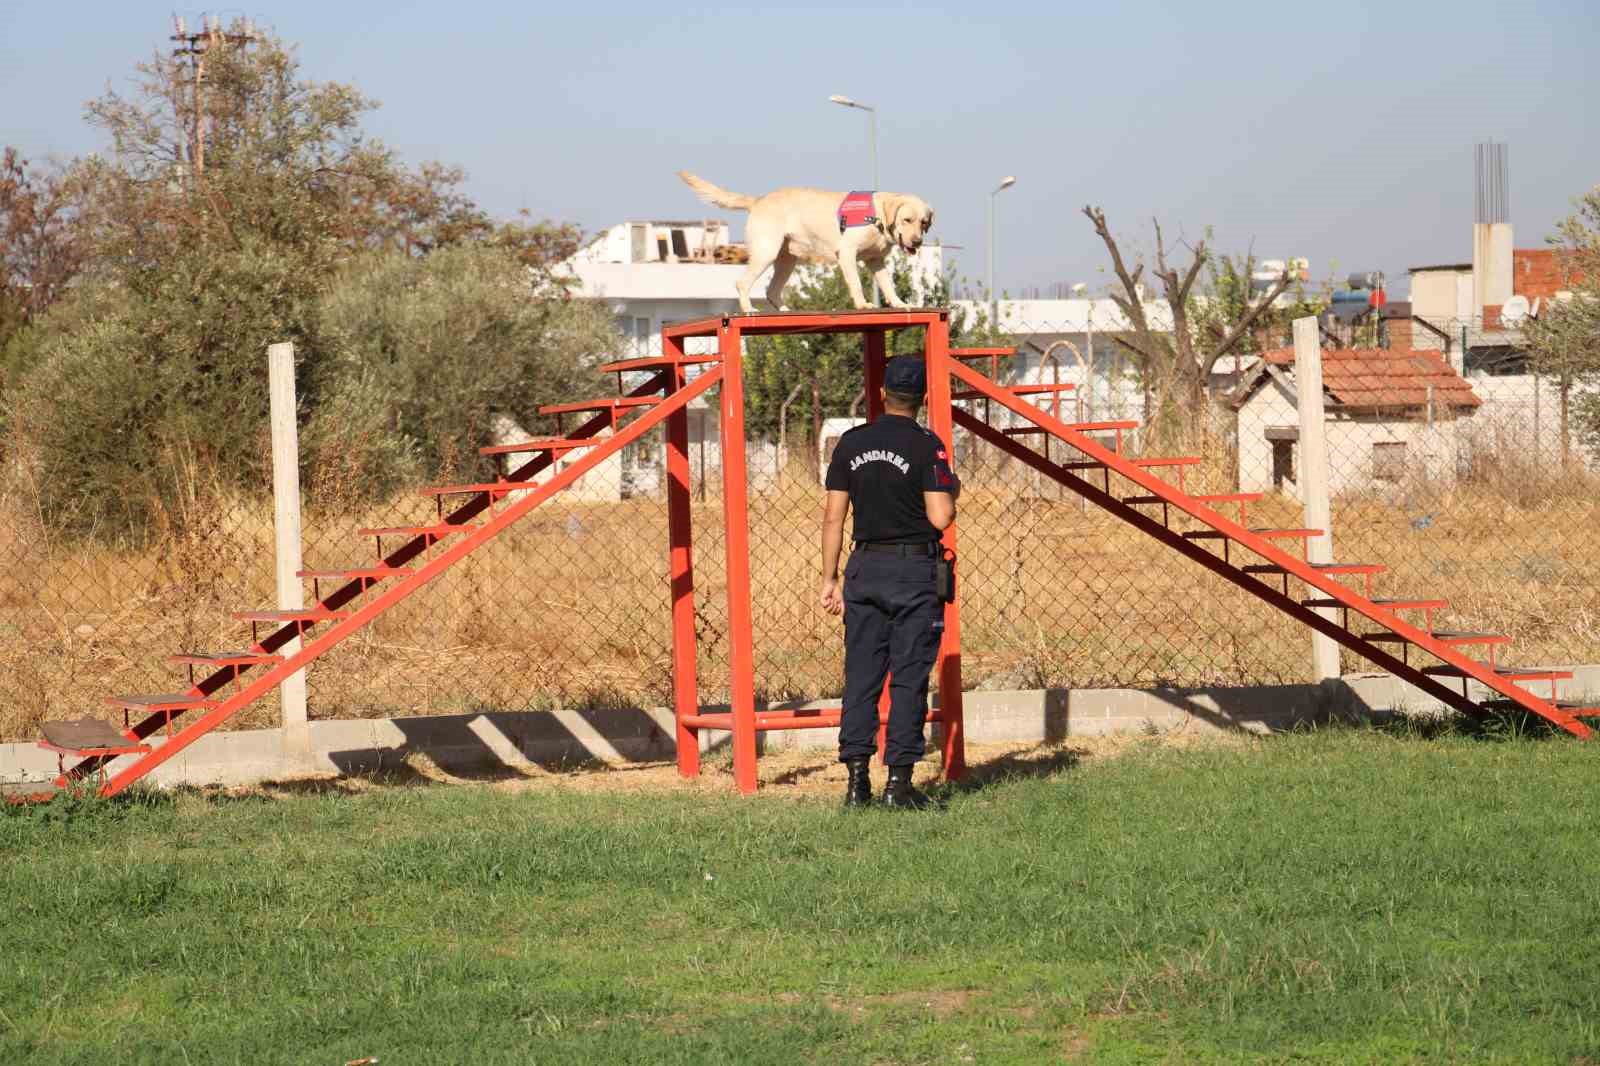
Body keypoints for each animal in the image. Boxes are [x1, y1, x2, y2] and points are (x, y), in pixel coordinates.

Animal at [678, 170, 934, 312]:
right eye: (907, 220)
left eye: (924, 223)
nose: (917, 242)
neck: (878, 216)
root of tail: (759, 200)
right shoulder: (847, 253)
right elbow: (856, 284)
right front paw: (862, 305)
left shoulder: (876, 261)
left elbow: (888, 286)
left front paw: (900, 304)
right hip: (766, 252)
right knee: (742, 283)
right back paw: (749, 308)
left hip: (787, 260)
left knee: (772, 291)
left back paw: (783, 310)